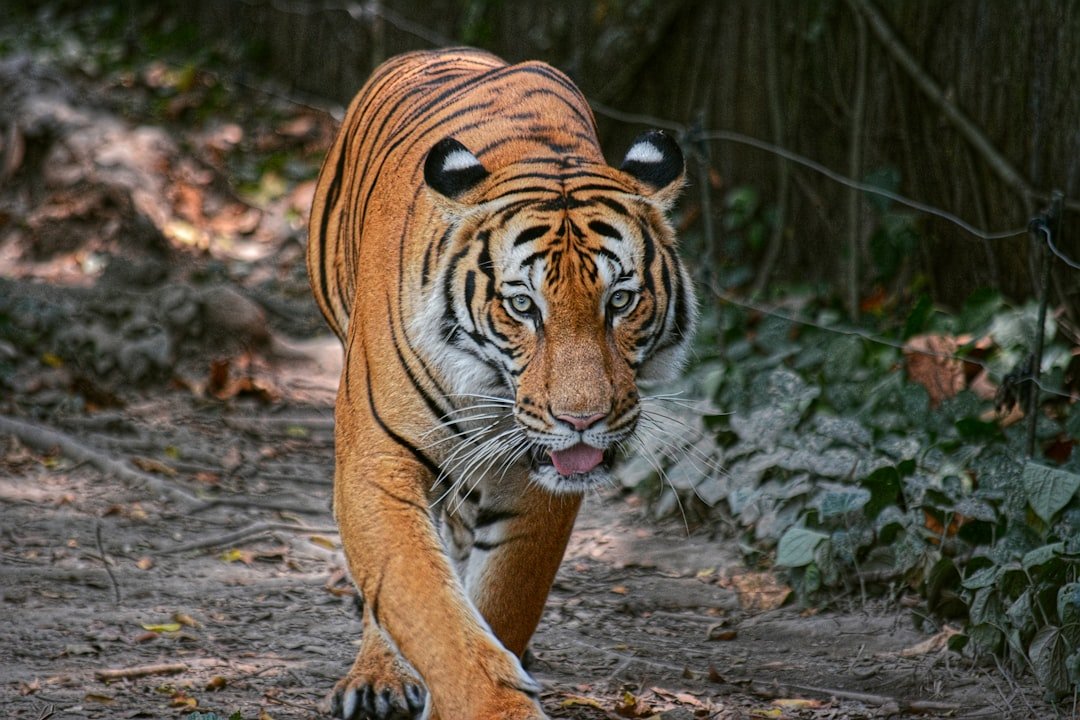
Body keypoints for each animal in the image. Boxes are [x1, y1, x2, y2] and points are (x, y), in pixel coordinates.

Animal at [306, 47, 697, 720]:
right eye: (522, 306)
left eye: (620, 301)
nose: (582, 420)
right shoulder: (377, 464)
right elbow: (425, 605)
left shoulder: (537, 485)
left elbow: (502, 601)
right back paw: (379, 678)